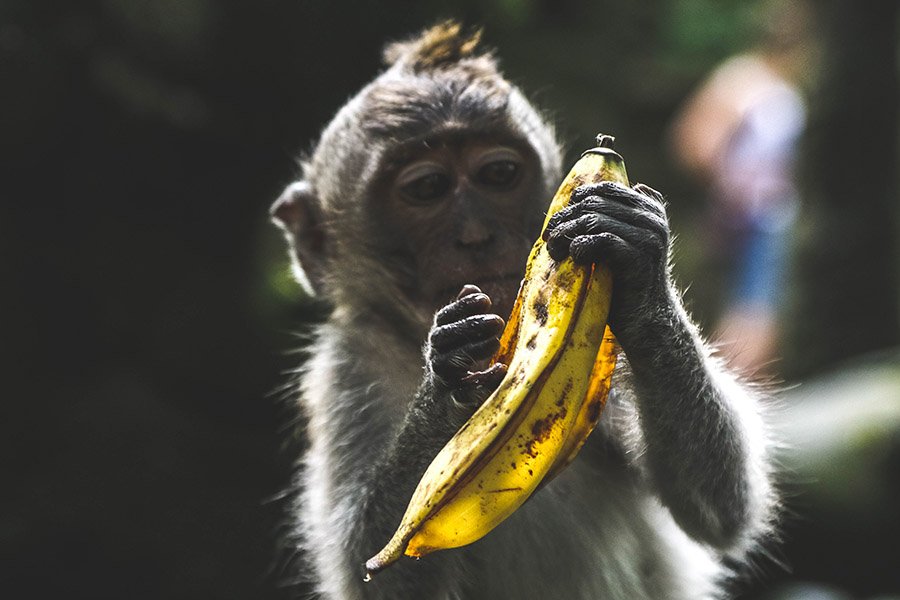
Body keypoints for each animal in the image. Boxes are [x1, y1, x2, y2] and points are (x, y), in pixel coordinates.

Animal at [270, 19, 776, 600]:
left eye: (498, 174)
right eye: (427, 188)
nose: (476, 234)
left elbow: (718, 507)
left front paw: (644, 277)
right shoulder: (345, 373)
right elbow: (366, 573)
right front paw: (449, 377)